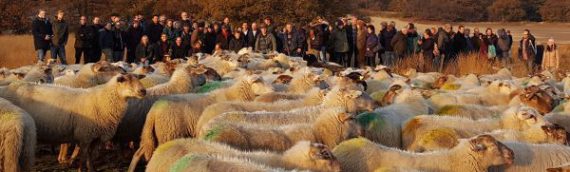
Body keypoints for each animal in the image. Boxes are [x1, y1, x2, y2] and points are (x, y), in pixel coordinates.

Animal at [4, 73, 145, 171]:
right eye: (125, 81)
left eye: (138, 78)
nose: (143, 91)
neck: (103, 100)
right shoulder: (85, 135)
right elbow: (83, 157)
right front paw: (80, 169)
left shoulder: (96, 137)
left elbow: (90, 156)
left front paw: (91, 169)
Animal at [129, 75, 272, 165]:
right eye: (257, 81)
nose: (273, 90)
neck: (233, 95)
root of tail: (153, 111)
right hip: (168, 133)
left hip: (151, 134)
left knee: (138, 153)